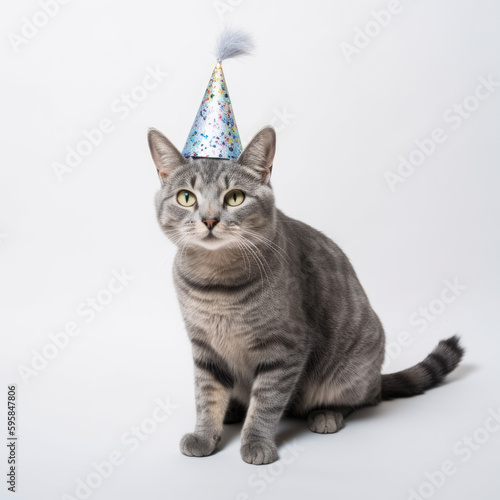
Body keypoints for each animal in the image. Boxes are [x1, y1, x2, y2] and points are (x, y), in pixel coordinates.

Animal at [147, 125, 464, 464]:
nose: (209, 220)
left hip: (353, 365)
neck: (217, 282)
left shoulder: (284, 347)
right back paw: (233, 409)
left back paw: (327, 414)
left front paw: (256, 441)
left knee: (363, 399)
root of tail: (377, 378)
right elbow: (207, 396)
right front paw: (206, 434)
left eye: (234, 198)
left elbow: (267, 402)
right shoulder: (205, 347)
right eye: (186, 197)